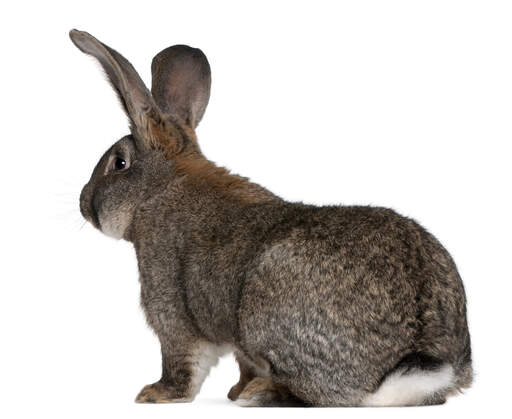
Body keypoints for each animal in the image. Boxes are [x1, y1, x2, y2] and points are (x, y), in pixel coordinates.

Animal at [70, 28, 474, 406]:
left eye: (119, 163)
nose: (84, 204)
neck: (161, 187)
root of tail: (419, 360)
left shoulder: (171, 308)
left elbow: (182, 363)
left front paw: (155, 394)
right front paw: (233, 388)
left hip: (265, 312)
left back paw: (262, 393)